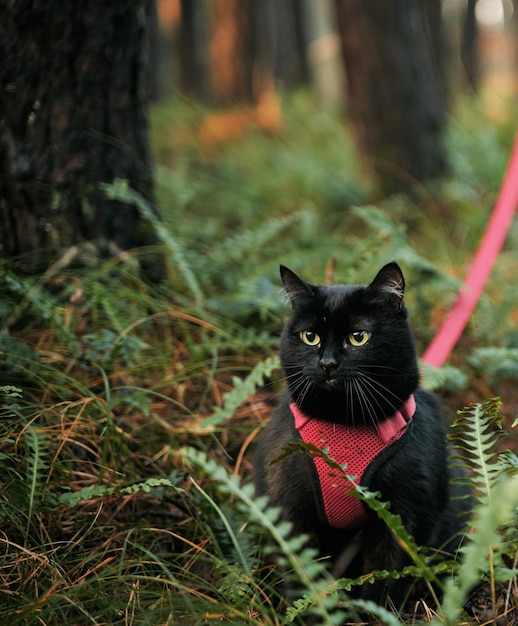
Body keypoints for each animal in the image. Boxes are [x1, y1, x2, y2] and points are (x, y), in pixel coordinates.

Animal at [254, 262, 474, 604]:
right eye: (309, 336)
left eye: (358, 337)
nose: (327, 363)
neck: (344, 423)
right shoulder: (291, 508)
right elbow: (303, 573)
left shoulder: (405, 514)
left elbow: (386, 577)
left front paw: (374, 611)